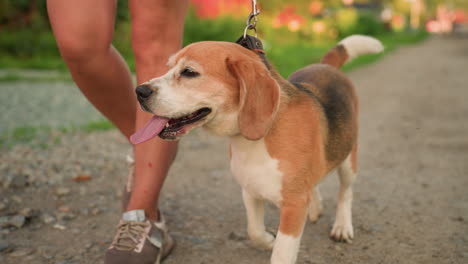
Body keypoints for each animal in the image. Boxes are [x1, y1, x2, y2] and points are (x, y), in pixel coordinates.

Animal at [130, 35, 382, 264]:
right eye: (169, 67)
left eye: (189, 72)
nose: (139, 91)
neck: (255, 140)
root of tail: (327, 66)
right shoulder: (250, 190)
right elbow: (254, 231)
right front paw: (268, 240)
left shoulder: (293, 207)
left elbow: (281, 253)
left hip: (349, 161)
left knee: (345, 193)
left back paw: (342, 226)